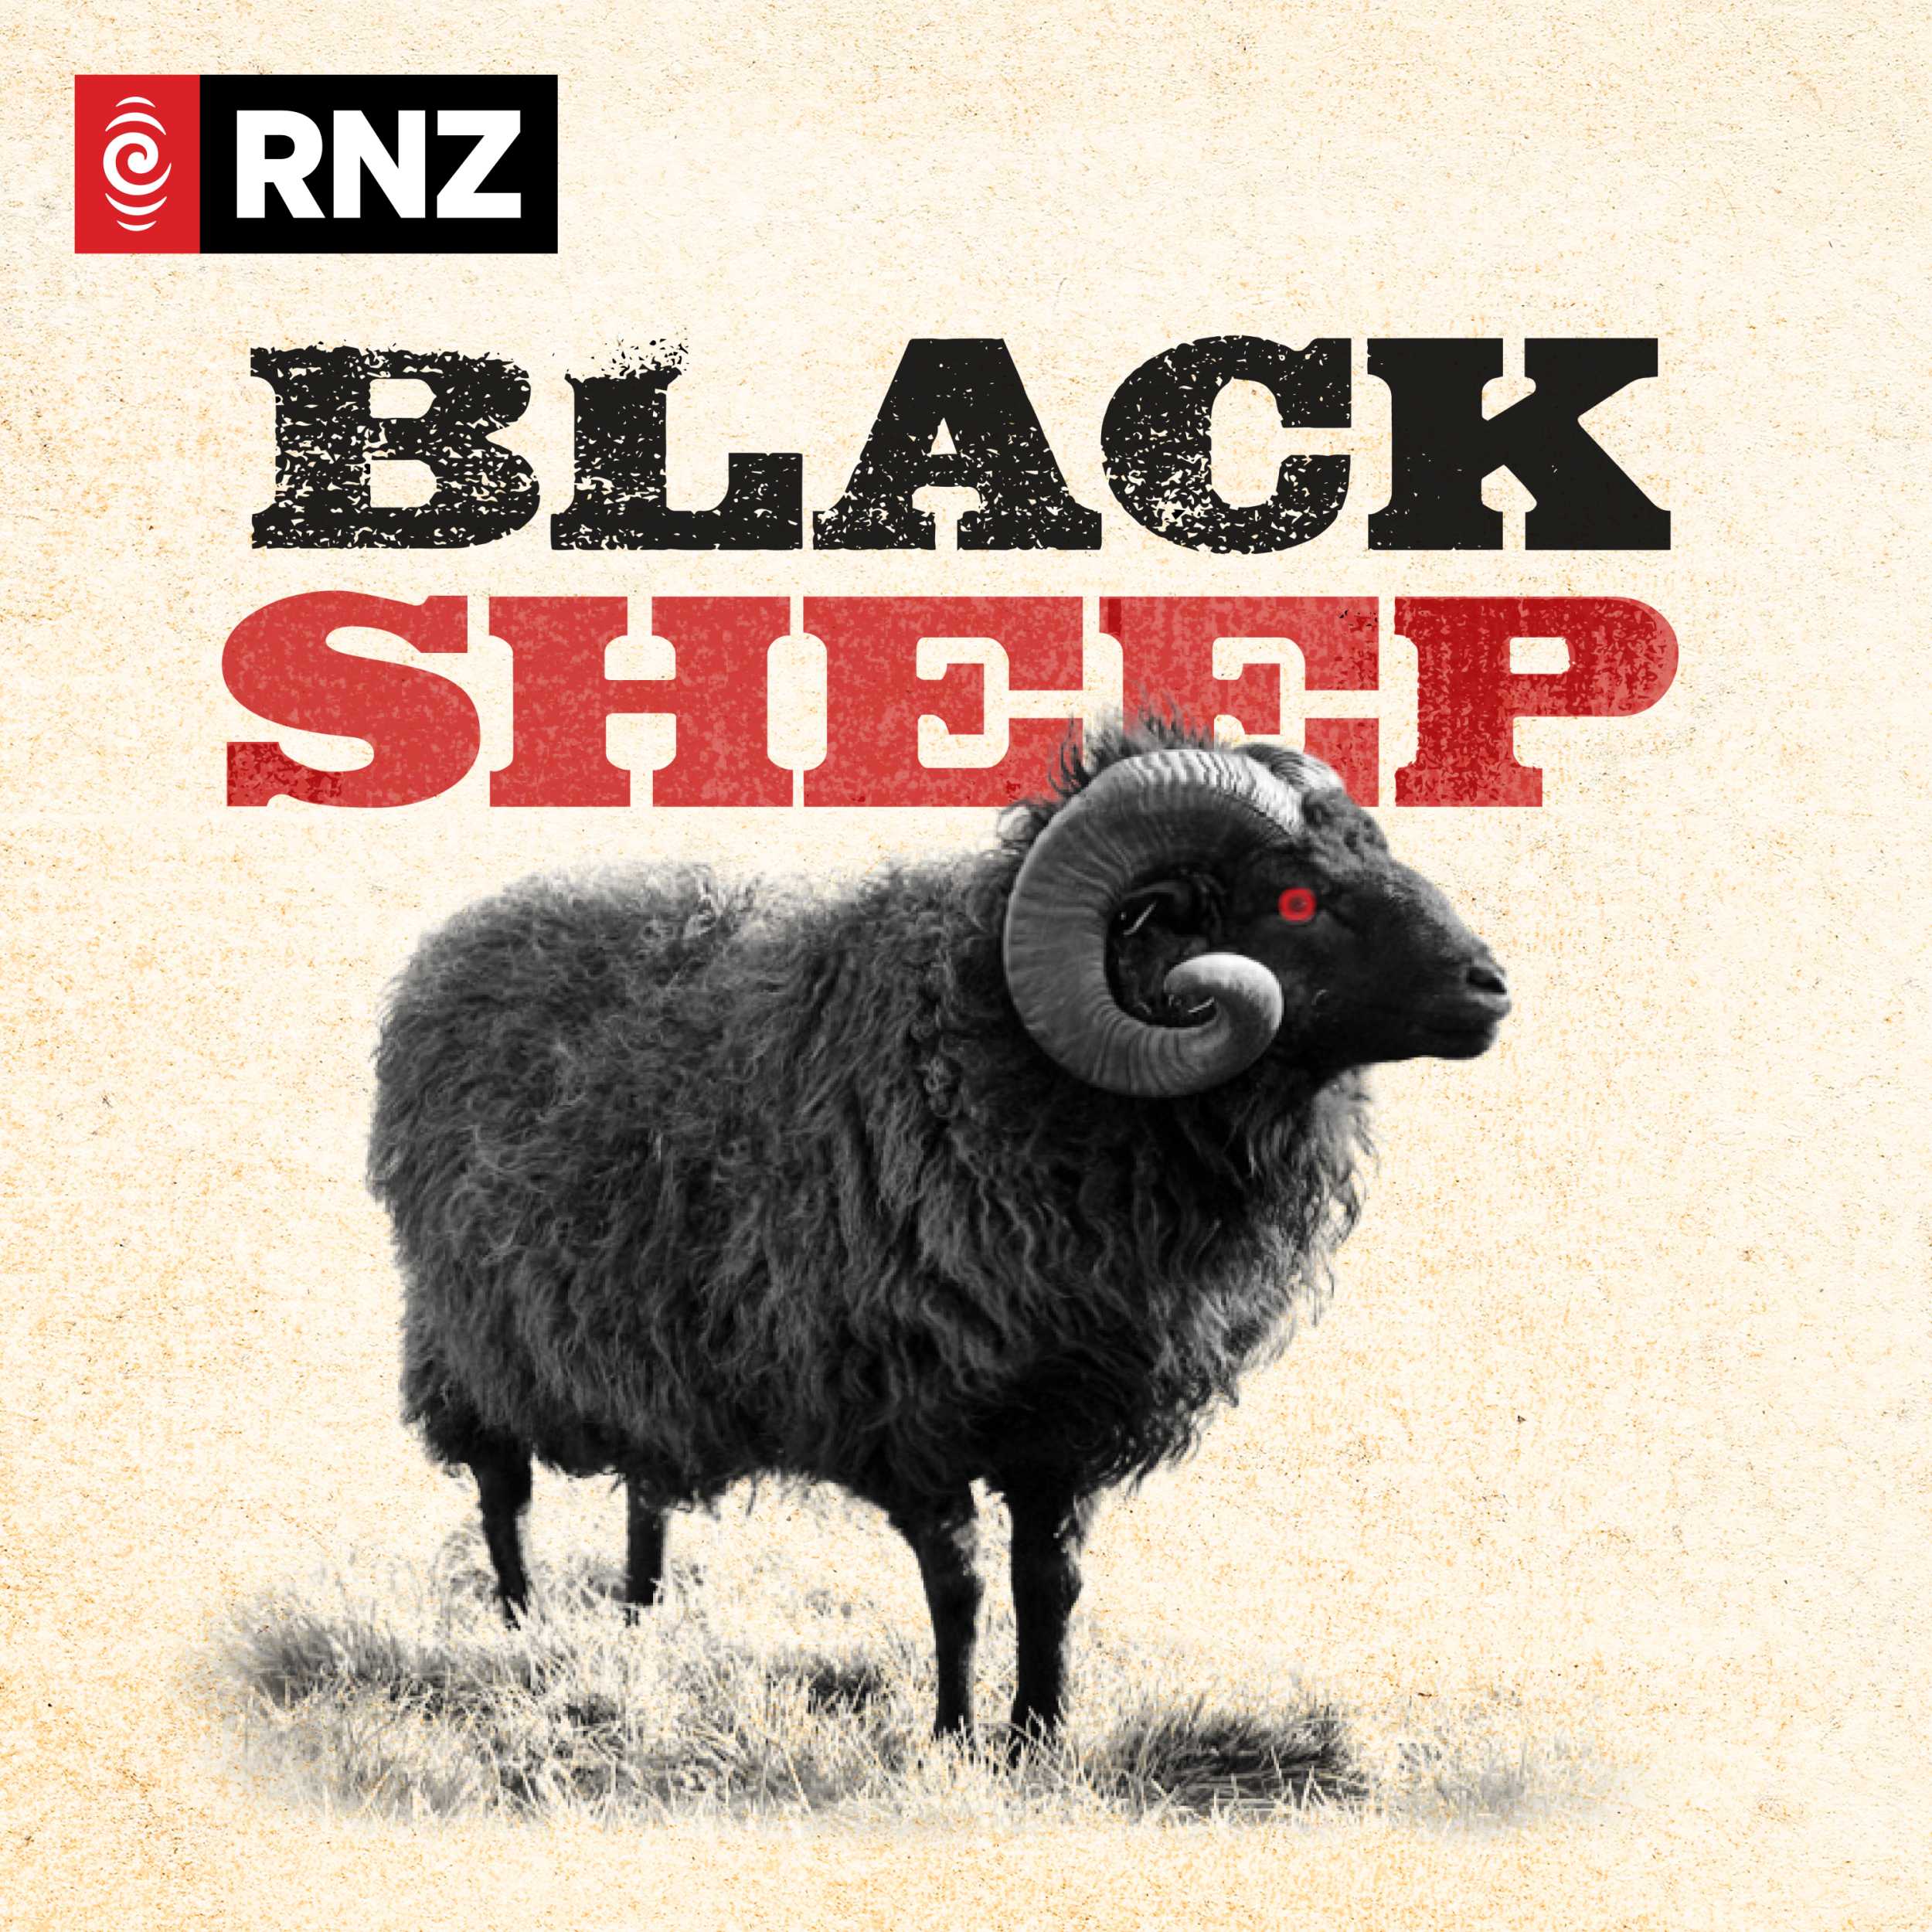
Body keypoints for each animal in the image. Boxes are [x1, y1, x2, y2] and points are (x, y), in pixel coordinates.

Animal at [368, 716, 1510, 1746]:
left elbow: (1050, 1585)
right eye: (1298, 899)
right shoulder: (909, 1413)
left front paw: (1041, 1738)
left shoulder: (1064, 1422)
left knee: (647, 1490)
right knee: (504, 1494)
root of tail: (458, 941)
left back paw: (643, 1623)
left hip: (648, 1351)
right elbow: (956, 1586)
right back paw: (524, 1632)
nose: (1491, 985)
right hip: (468, 1339)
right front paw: (957, 1739)